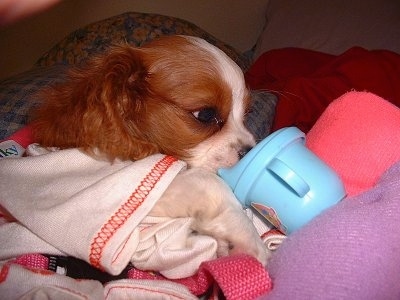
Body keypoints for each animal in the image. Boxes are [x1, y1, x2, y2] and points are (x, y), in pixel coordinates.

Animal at [31, 34, 268, 264]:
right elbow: (210, 182)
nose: (249, 151)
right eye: (206, 114)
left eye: (245, 115)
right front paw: (250, 240)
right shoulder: (120, 188)